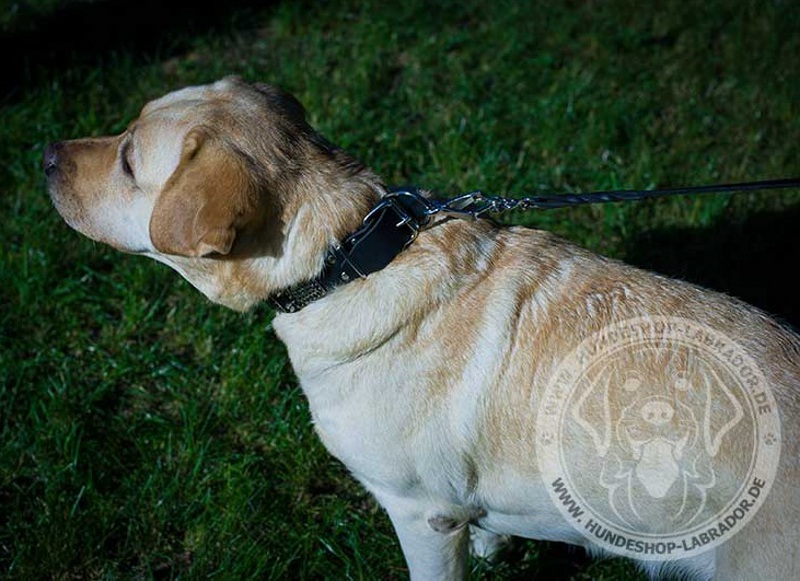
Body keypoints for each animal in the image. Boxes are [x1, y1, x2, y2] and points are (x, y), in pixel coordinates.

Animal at [48, 76, 800, 576]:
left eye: (128, 160)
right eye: (124, 128)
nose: (47, 154)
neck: (348, 256)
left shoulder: (419, 512)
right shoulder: (462, 505)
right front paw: (495, 545)